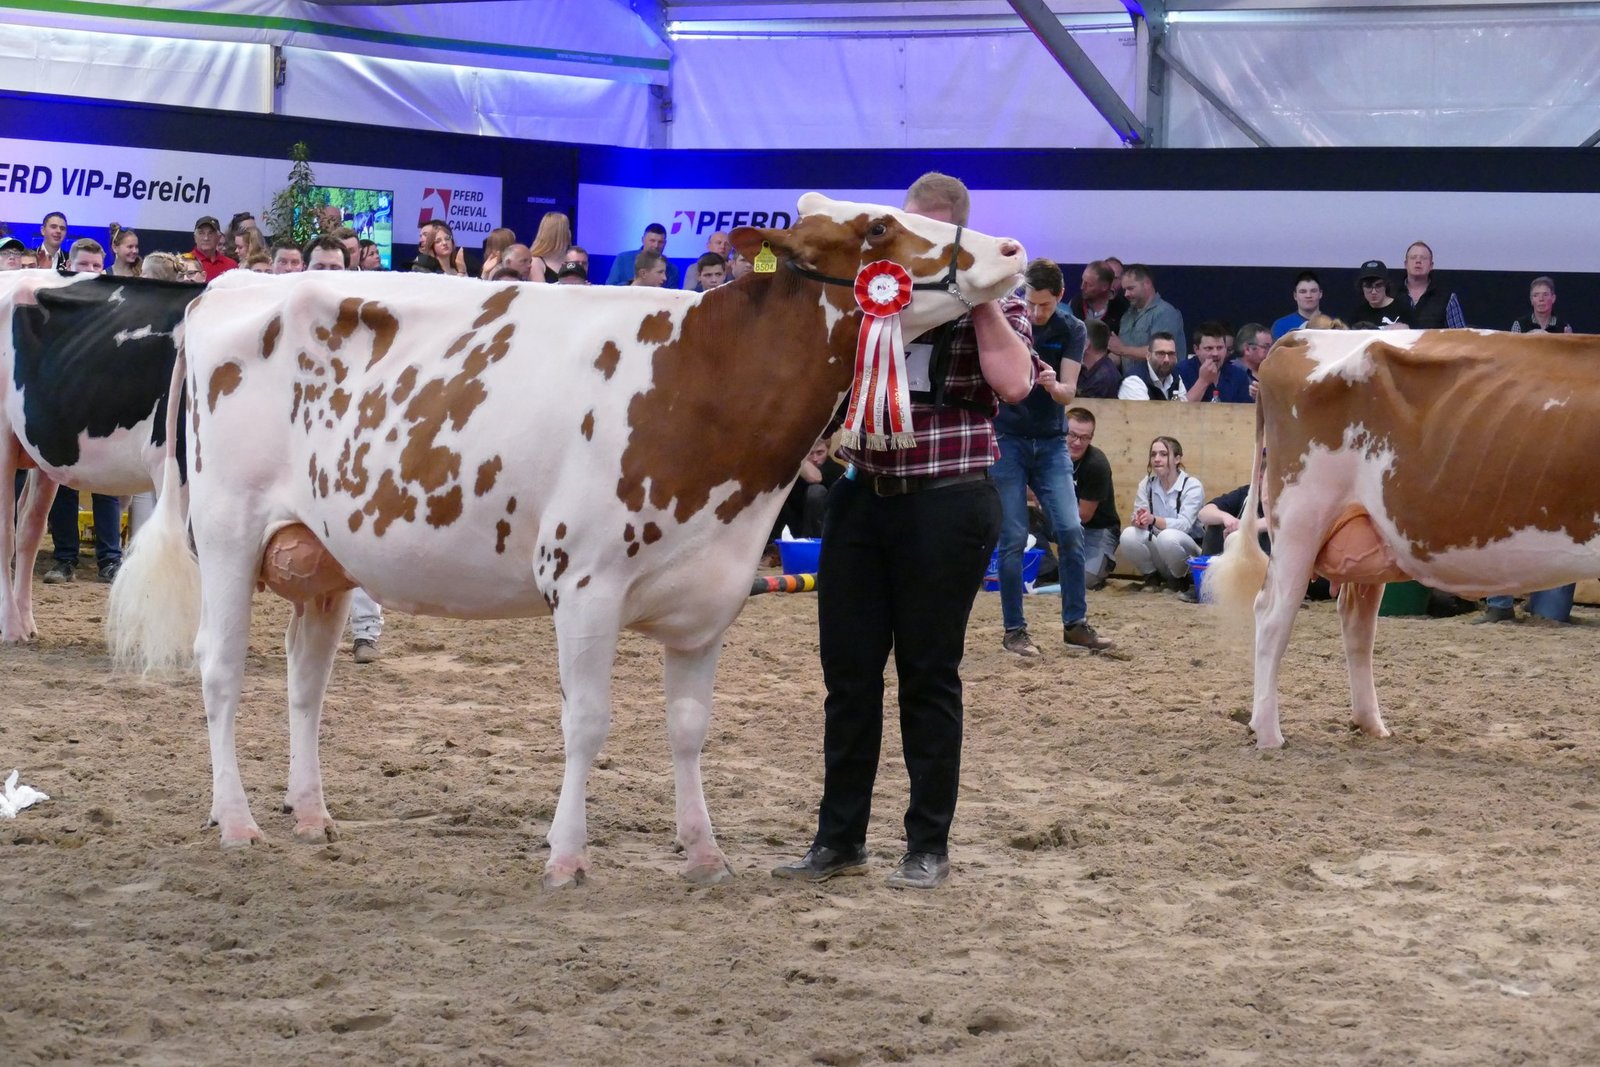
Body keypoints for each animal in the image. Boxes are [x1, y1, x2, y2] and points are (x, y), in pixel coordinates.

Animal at [1, 270, 195, 642]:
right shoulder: (176, 464)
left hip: (45, 451)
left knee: (29, 526)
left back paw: (27, 623)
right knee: (5, 530)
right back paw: (12, 628)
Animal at [107, 193, 1026, 887]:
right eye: (875, 230)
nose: (1016, 248)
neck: (705, 382)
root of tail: (225, 289)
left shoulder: (712, 594)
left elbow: (689, 725)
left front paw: (704, 852)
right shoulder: (586, 583)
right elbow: (586, 721)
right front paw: (566, 855)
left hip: (323, 551)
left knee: (307, 683)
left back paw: (309, 811)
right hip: (227, 529)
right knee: (220, 669)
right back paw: (237, 820)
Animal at [1208, 327, 1600, 749]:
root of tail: (1301, 335)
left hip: (1364, 537)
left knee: (1356, 623)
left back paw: (1369, 723)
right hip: (1301, 518)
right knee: (1272, 615)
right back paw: (1268, 733)